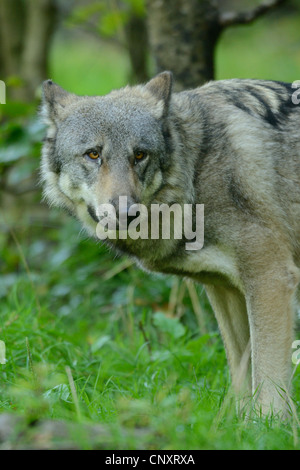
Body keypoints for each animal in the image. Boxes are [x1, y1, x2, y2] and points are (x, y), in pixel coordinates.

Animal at [39, 72, 300, 414]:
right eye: (93, 154)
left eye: (139, 155)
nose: (126, 212)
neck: (197, 167)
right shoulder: (226, 290)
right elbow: (242, 375)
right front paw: (238, 422)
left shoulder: (271, 279)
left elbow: (268, 376)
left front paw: (269, 423)